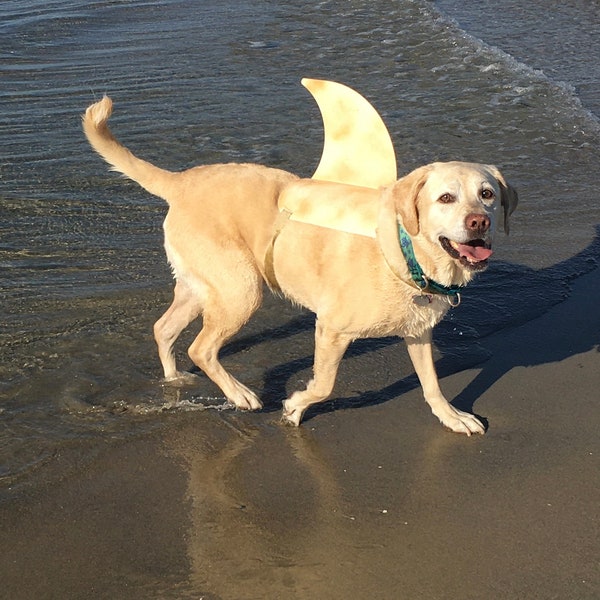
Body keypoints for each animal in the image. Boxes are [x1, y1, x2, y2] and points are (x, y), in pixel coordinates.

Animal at [83, 98, 516, 436]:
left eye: (487, 194)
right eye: (445, 198)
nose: (479, 222)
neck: (406, 249)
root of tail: (182, 181)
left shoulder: (418, 332)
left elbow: (431, 385)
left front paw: (452, 417)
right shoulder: (331, 328)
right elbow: (324, 384)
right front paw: (294, 407)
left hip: (204, 286)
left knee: (164, 328)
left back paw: (174, 379)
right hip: (242, 289)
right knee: (201, 347)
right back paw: (240, 394)